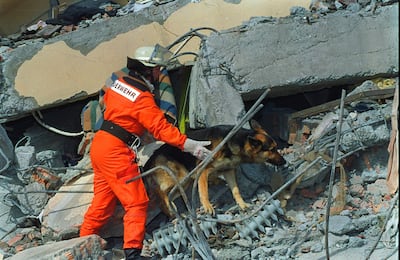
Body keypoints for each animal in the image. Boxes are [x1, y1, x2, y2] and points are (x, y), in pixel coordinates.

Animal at [142, 120, 286, 217]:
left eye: (276, 147)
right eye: (272, 149)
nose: (284, 162)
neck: (233, 141)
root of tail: (151, 158)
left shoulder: (229, 171)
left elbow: (236, 190)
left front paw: (242, 204)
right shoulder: (202, 171)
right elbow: (204, 191)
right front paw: (207, 206)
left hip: (184, 182)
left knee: (169, 194)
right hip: (182, 176)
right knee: (160, 192)